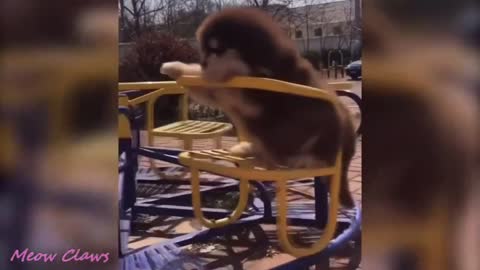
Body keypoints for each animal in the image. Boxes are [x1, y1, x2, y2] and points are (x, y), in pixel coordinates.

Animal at [161, 7, 356, 207]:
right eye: (204, 50)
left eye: (216, 50)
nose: (204, 63)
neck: (256, 66)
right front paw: (175, 68)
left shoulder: (253, 100)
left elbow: (221, 87)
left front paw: (204, 74)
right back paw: (251, 151)